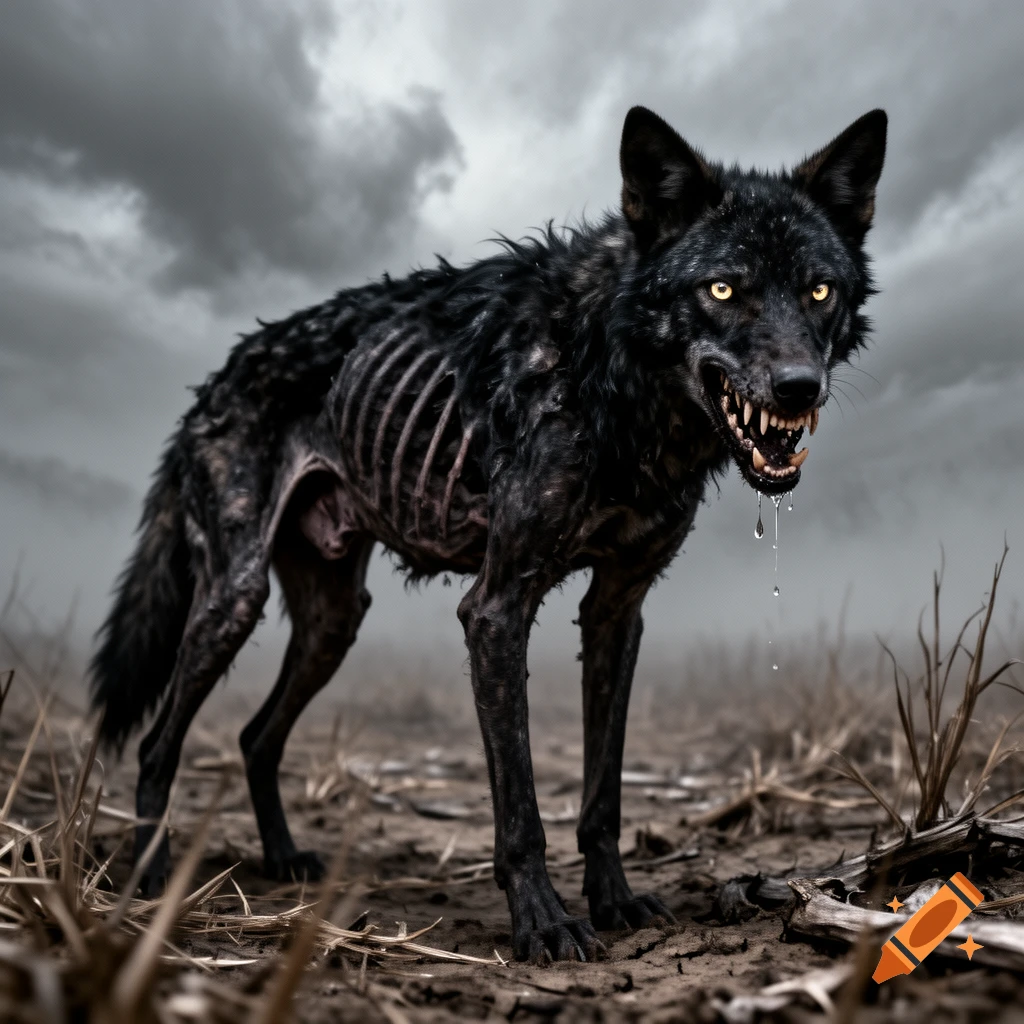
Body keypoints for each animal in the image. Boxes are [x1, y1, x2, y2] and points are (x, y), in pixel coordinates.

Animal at [90, 105, 886, 963]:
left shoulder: (617, 613)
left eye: (819, 289)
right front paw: (543, 923)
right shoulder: (497, 610)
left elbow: (603, 794)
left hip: (333, 625)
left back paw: (283, 860)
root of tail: (214, 381)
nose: (800, 390)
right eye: (723, 289)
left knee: (253, 736)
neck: (610, 372)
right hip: (233, 603)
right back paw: (150, 878)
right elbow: (521, 807)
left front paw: (614, 901)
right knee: (158, 743)